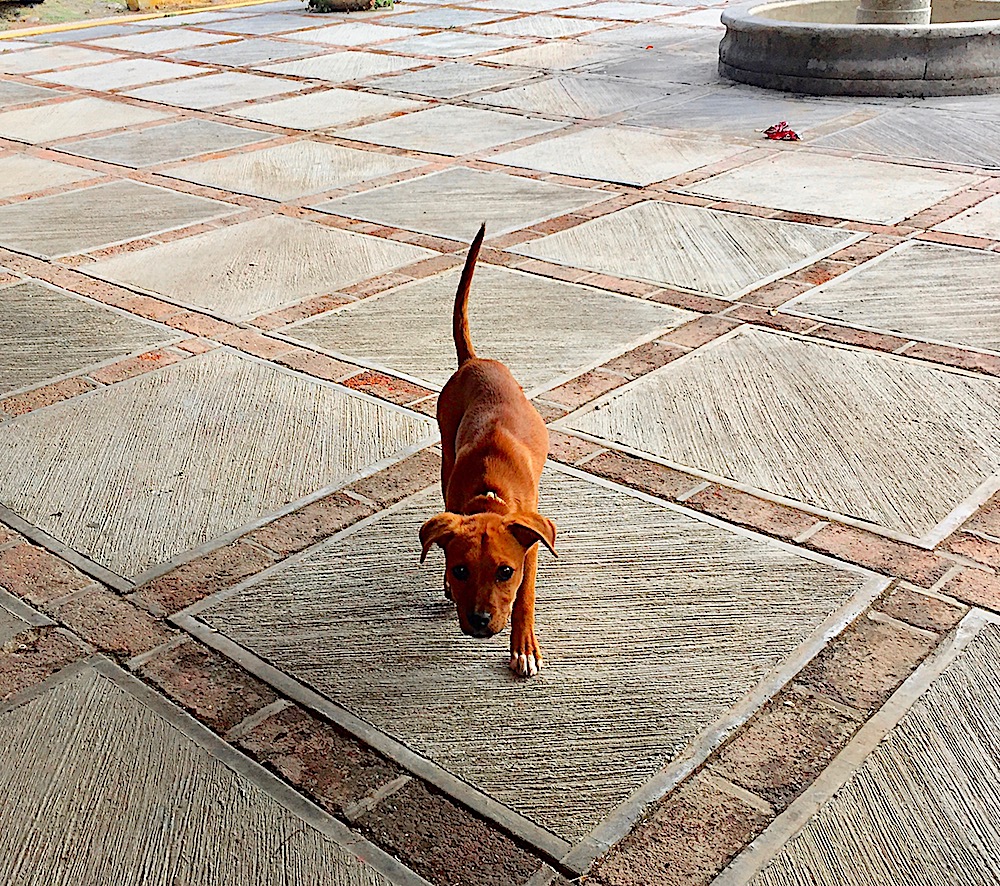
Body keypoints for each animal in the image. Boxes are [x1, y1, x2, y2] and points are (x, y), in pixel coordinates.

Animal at [419, 223, 556, 678]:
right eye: (460, 569)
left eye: (505, 571)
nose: (479, 622)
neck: (490, 496)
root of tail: (474, 361)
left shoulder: (532, 548)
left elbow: (525, 598)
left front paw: (523, 647)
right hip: (445, 448)